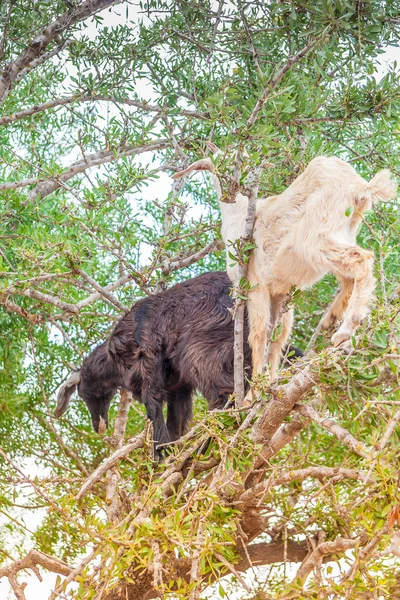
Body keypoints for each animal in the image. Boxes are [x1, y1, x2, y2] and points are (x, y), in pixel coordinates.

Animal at [54, 272, 302, 446]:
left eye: (83, 393)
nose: (99, 426)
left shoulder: (148, 356)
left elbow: (153, 405)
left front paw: (160, 456)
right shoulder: (178, 386)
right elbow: (177, 420)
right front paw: (172, 451)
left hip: (201, 352)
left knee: (224, 395)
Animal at [173, 155, 398, 380]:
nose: (233, 190)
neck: (238, 215)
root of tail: (360, 187)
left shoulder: (253, 283)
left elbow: (258, 333)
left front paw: (256, 385)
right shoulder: (279, 291)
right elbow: (277, 335)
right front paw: (270, 380)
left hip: (314, 238)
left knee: (361, 260)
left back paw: (345, 330)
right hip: (340, 235)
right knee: (349, 277)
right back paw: (330, 320)